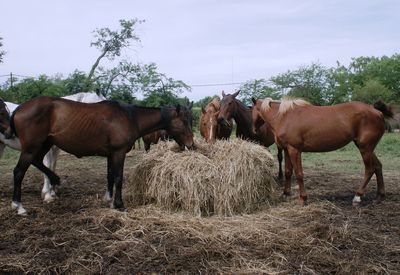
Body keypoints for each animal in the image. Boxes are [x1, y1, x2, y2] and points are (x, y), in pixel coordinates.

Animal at [6, 97, 194, 216]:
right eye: (184, 122)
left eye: (191, 120)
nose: (191, 145)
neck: (129, 117)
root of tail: (19, 108)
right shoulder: (118, 153)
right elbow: (118, 178)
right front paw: (120, 205)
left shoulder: (111, 154)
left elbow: (110, 176)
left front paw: (109, 200)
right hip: (31, 148)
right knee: (19, 172)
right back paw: (19, 206)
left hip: (44, 144)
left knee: (37, 162)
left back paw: (54, 180)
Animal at [252, 96, 392, 206]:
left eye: (251, 110)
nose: (254, 130)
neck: (284, 116)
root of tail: (376, 111)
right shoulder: (287, 150)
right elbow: (287, 172)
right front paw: (285, 194)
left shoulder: (294, 150)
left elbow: (299, 174)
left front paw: (303, 198)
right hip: (367, 147)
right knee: (378, 166)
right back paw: (379, 196)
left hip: (365, 148)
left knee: (370, 169)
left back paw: (357, 197)